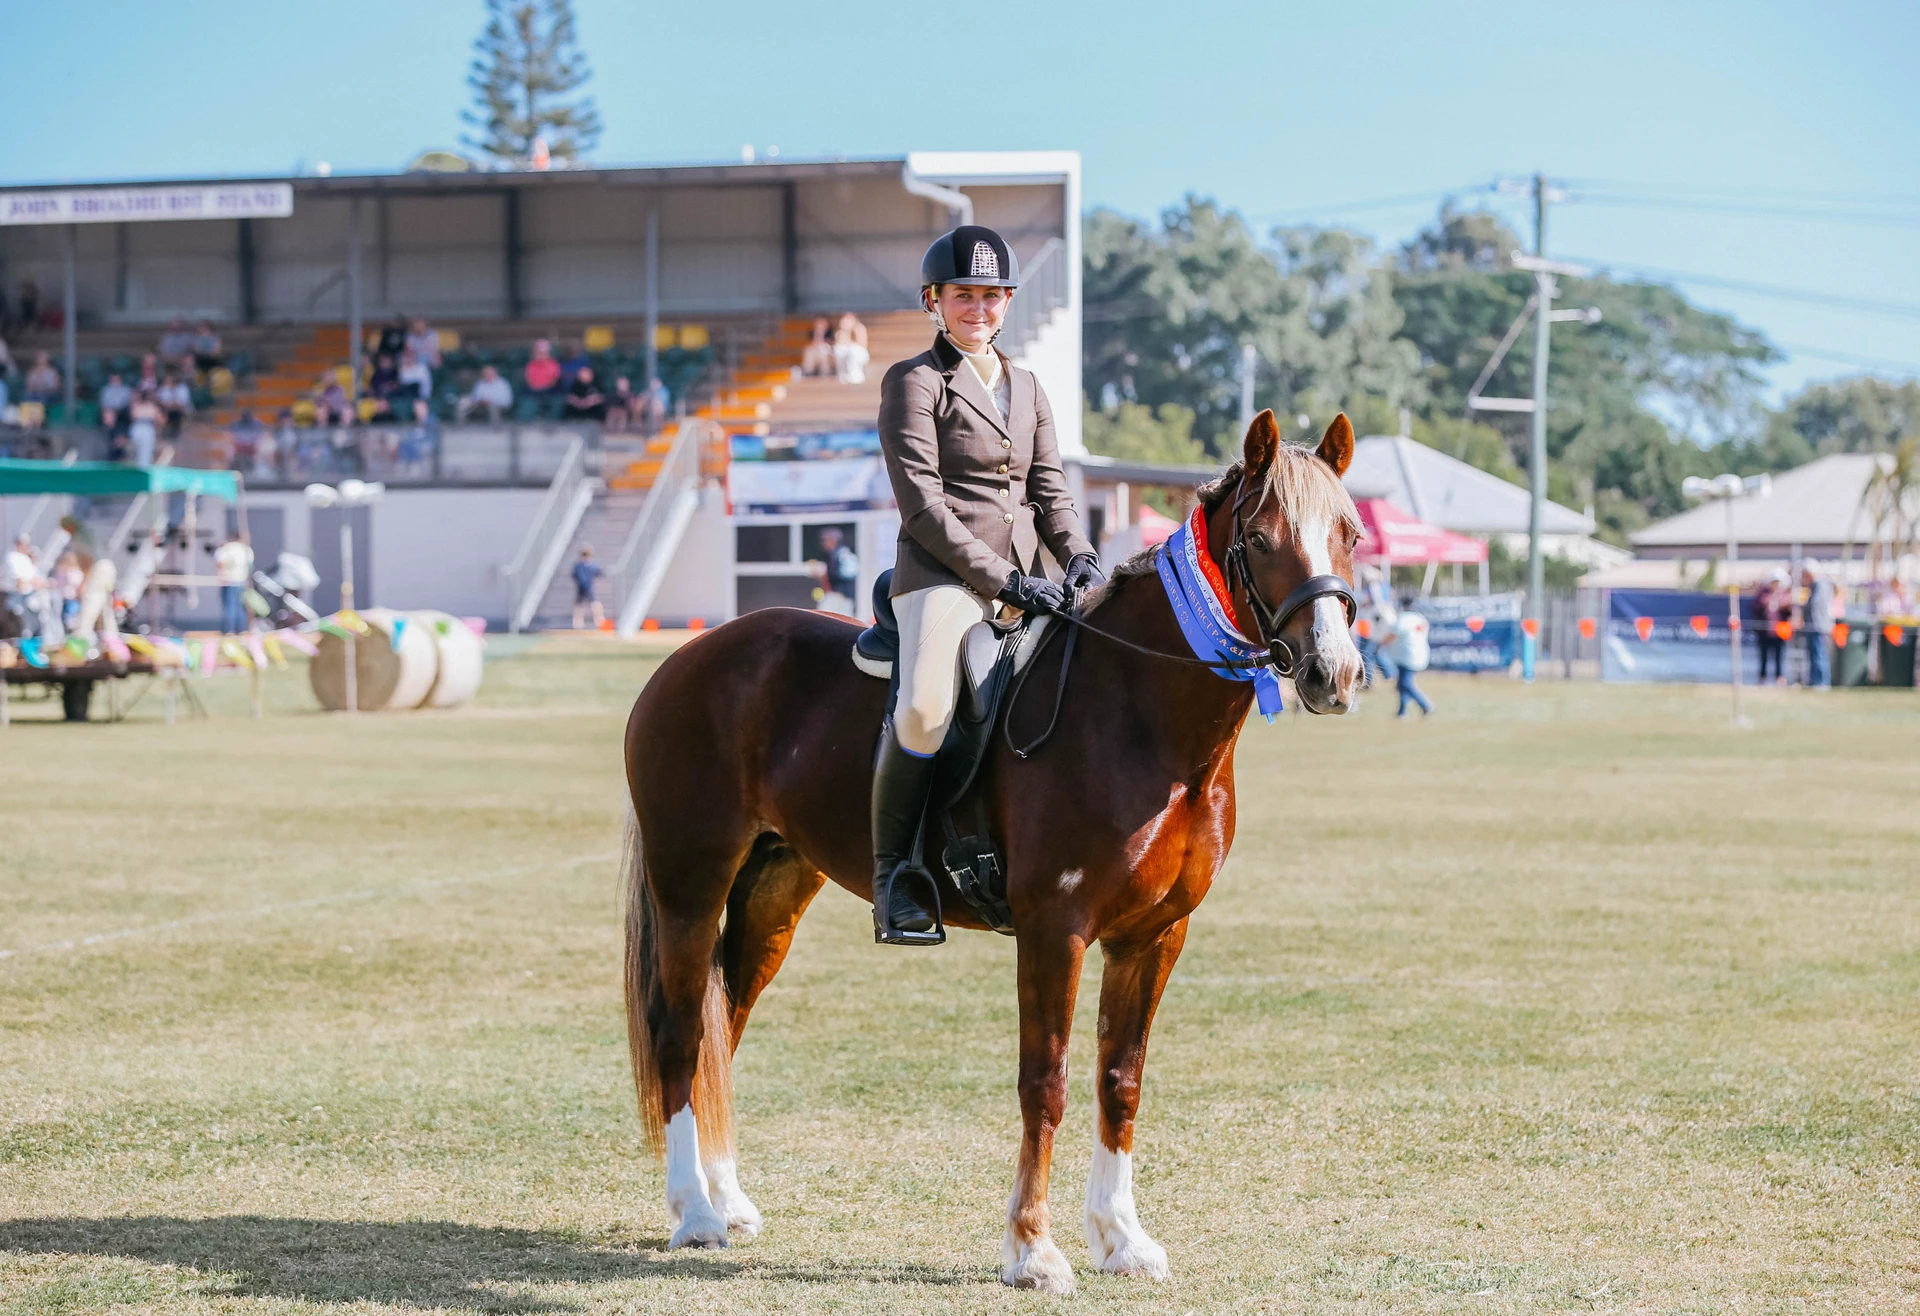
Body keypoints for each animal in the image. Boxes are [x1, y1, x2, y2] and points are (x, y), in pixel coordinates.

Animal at [621, 410, 1364, 1293]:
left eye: (1350, 533)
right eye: (1258, 537)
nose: (1333, 673)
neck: (1142, 715)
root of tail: (689, 658)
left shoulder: (1154, 936)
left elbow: (1122, 1079)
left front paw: (1121, 1238)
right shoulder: (1054, 928)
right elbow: (1046, 1081)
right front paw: (1033, 1249)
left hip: (772, 894)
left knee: (720, 1027)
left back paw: (724, 1200)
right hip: (689, 887)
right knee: (679, 1034)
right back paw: (692, 1214)